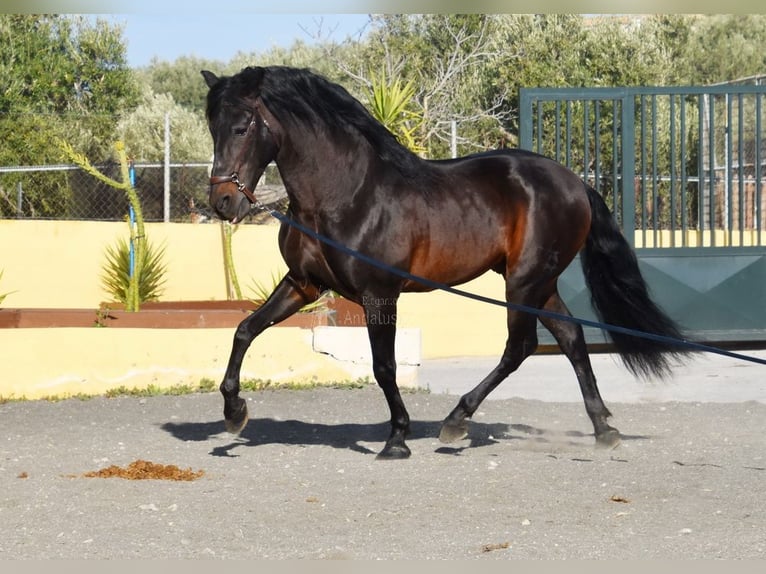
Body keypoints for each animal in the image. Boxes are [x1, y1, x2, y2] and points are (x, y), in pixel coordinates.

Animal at [200, 65, 688, 462]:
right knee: (570, 338)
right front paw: (234, 412)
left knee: (520, 347)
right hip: (539, 283)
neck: (347, 194)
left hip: (524, 282)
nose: (222, 202)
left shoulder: (380, 294)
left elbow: (384, 366)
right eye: (212, 128)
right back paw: (603, 428)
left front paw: (397, 439)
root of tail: (574, 182)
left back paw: (456, 421)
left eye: (242, 127)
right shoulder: (303, 284)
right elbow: (245, 329)